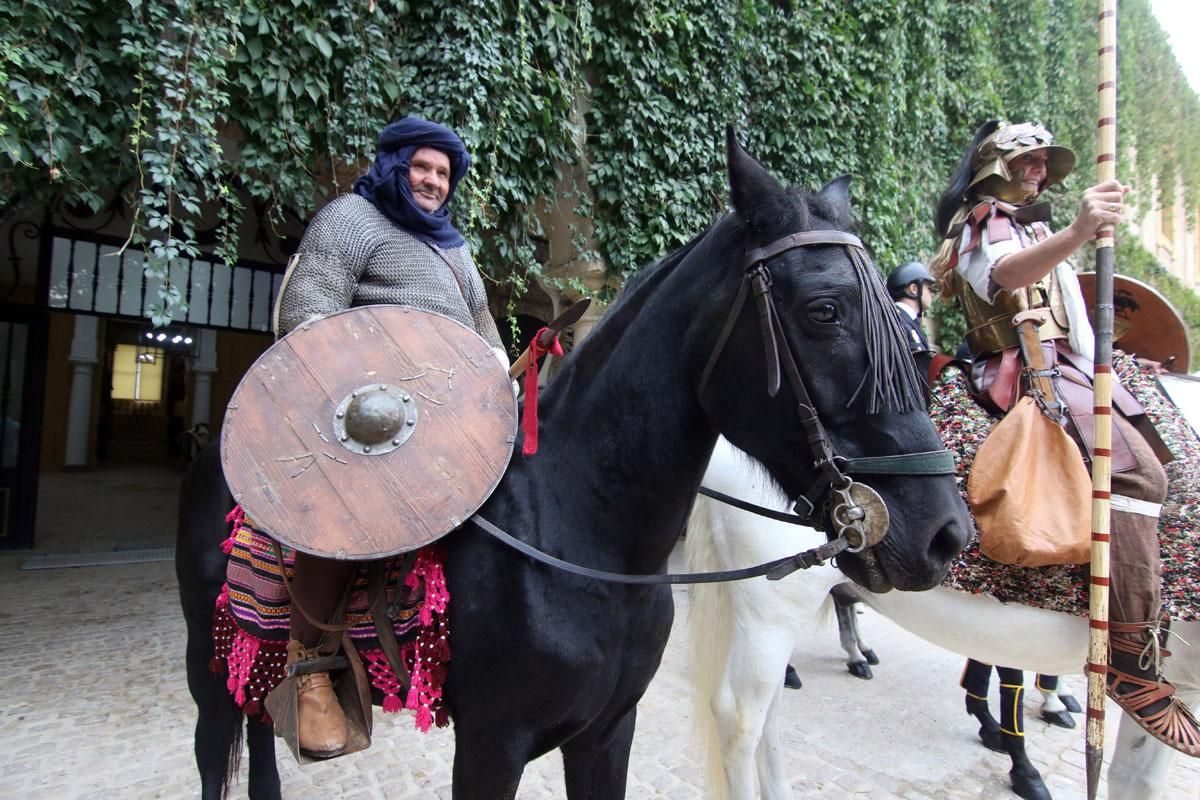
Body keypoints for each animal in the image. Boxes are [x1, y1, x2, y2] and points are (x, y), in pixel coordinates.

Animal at [177, 131, 969, 800]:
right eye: (824, 311)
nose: (946, 534)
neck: (582, 536)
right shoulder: (491, 747)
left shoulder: (607, 732)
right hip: (206, 666)